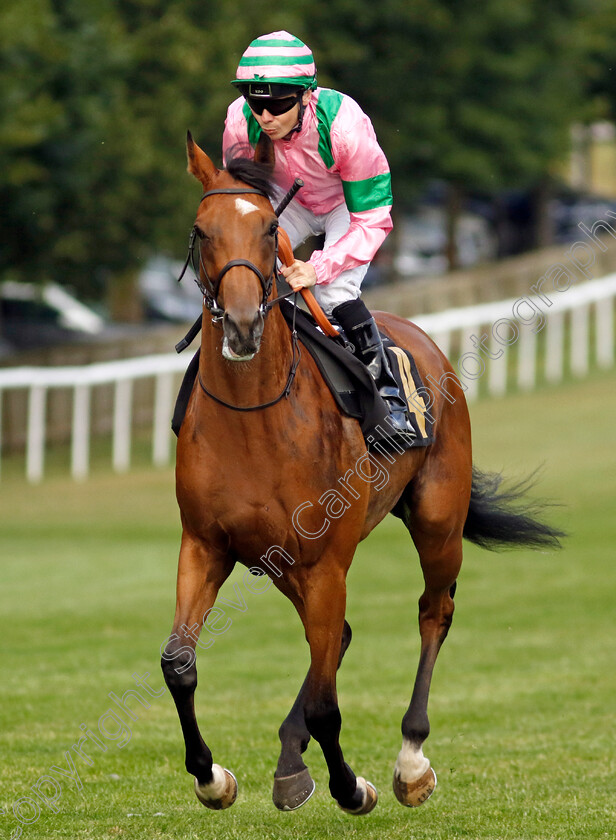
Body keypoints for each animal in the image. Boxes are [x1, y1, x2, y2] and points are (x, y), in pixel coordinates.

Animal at [160, 131, 564, 812]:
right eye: (201, 230)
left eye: (270, 230)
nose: (242, 326)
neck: (253, 418)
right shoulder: (207, 545)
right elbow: (178, 665)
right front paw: (212, 777)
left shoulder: (326, 561)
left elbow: (329, 704)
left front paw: (352, 786)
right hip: (283, 564)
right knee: (340, 636)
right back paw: (291, 762)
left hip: (435, 521)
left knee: (433, 613)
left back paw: (410, 759)